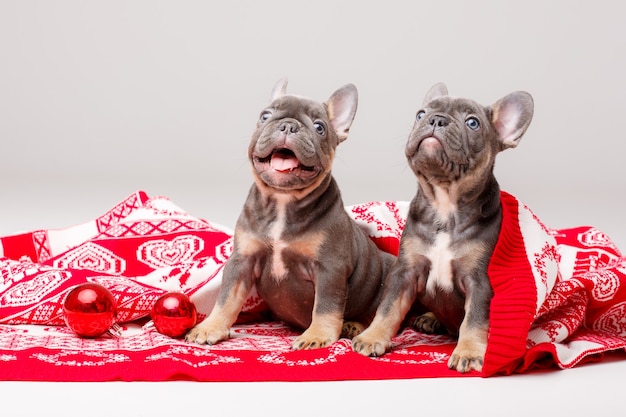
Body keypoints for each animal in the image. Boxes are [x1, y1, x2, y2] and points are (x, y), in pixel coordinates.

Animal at [183, 78, 394, 348]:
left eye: (319, 127)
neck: (283, 202)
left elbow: (325, 306)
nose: (288, 126)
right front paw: (211, 326)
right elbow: (226, 298)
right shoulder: (242, 261)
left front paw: (316, 336)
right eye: (265, 116)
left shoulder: (329, 268)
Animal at [352, 83, 532, 372]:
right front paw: (372, 337)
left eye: (472, 123)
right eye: (420, 114)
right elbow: (388, 307)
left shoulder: (479, 282)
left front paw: (469, 351)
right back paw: (430, 317)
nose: (436, 119)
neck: (444, 203)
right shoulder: (405, 272)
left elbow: (475, 320)